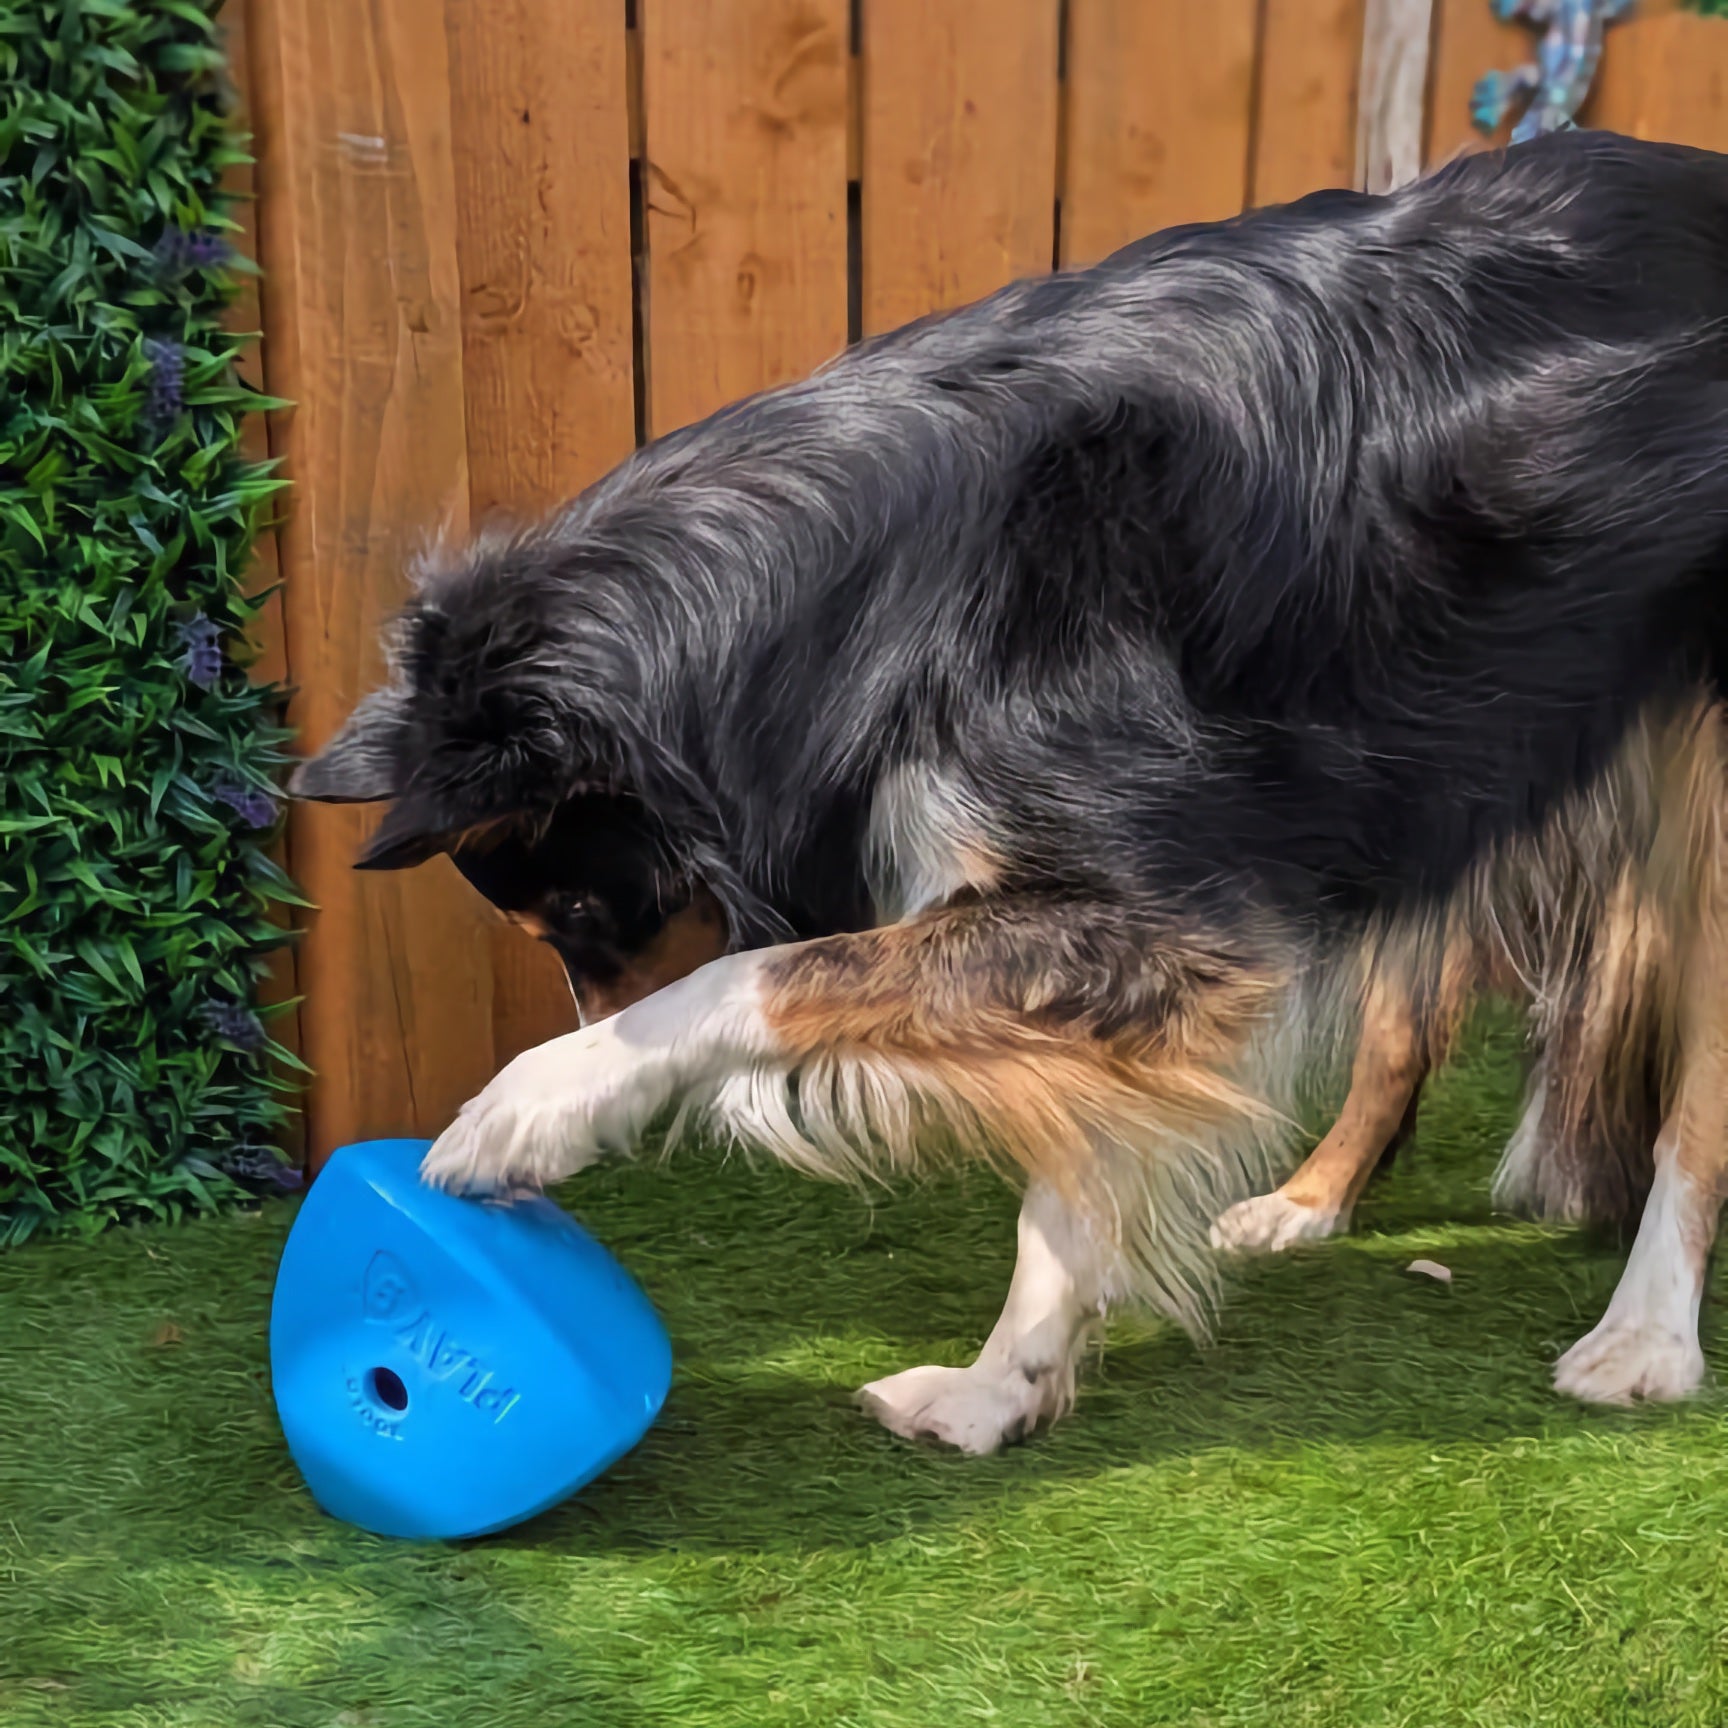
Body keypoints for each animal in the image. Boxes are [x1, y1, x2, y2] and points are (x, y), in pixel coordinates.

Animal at [293, 129, 1728, 1453]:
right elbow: (1067, 1173)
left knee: (1692, 1098)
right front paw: (1003, 1388)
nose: (569, 1206)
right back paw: (1312, 1201)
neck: (837, 587)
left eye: (587, 916)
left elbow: (766, 976)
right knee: (1401, 1023)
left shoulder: (1161, 913)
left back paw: (1645, 1336)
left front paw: (535, 1103)